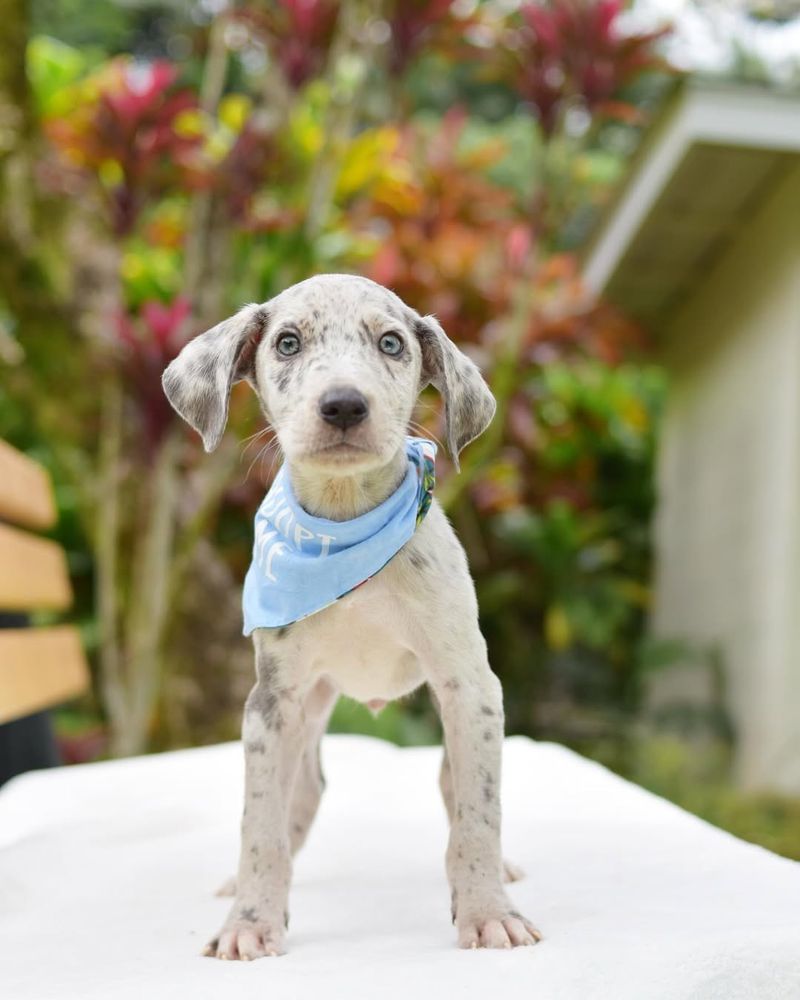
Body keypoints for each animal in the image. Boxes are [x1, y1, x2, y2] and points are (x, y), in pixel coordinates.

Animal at [162, 276, 540, 960]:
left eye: (391, 343)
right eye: (287, 342)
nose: (343, 405)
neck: (342, 528)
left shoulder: (470, 688)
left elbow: (478, 816)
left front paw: (488, 912)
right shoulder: (270, 703)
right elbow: (261, 825)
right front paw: (250, 921)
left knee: (454, 790)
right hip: (308, 709)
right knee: (301, 797)